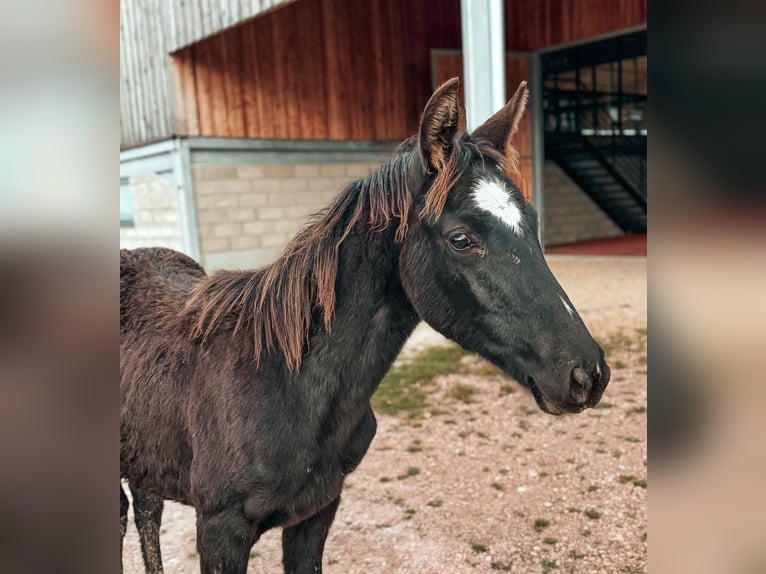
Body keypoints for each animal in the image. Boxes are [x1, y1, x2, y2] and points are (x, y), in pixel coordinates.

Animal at [120, 78, 610, 574]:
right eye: (460, 239)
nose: (587, 374)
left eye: (533, 222)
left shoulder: (317, 511)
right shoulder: (220, 532)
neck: (284, 382)